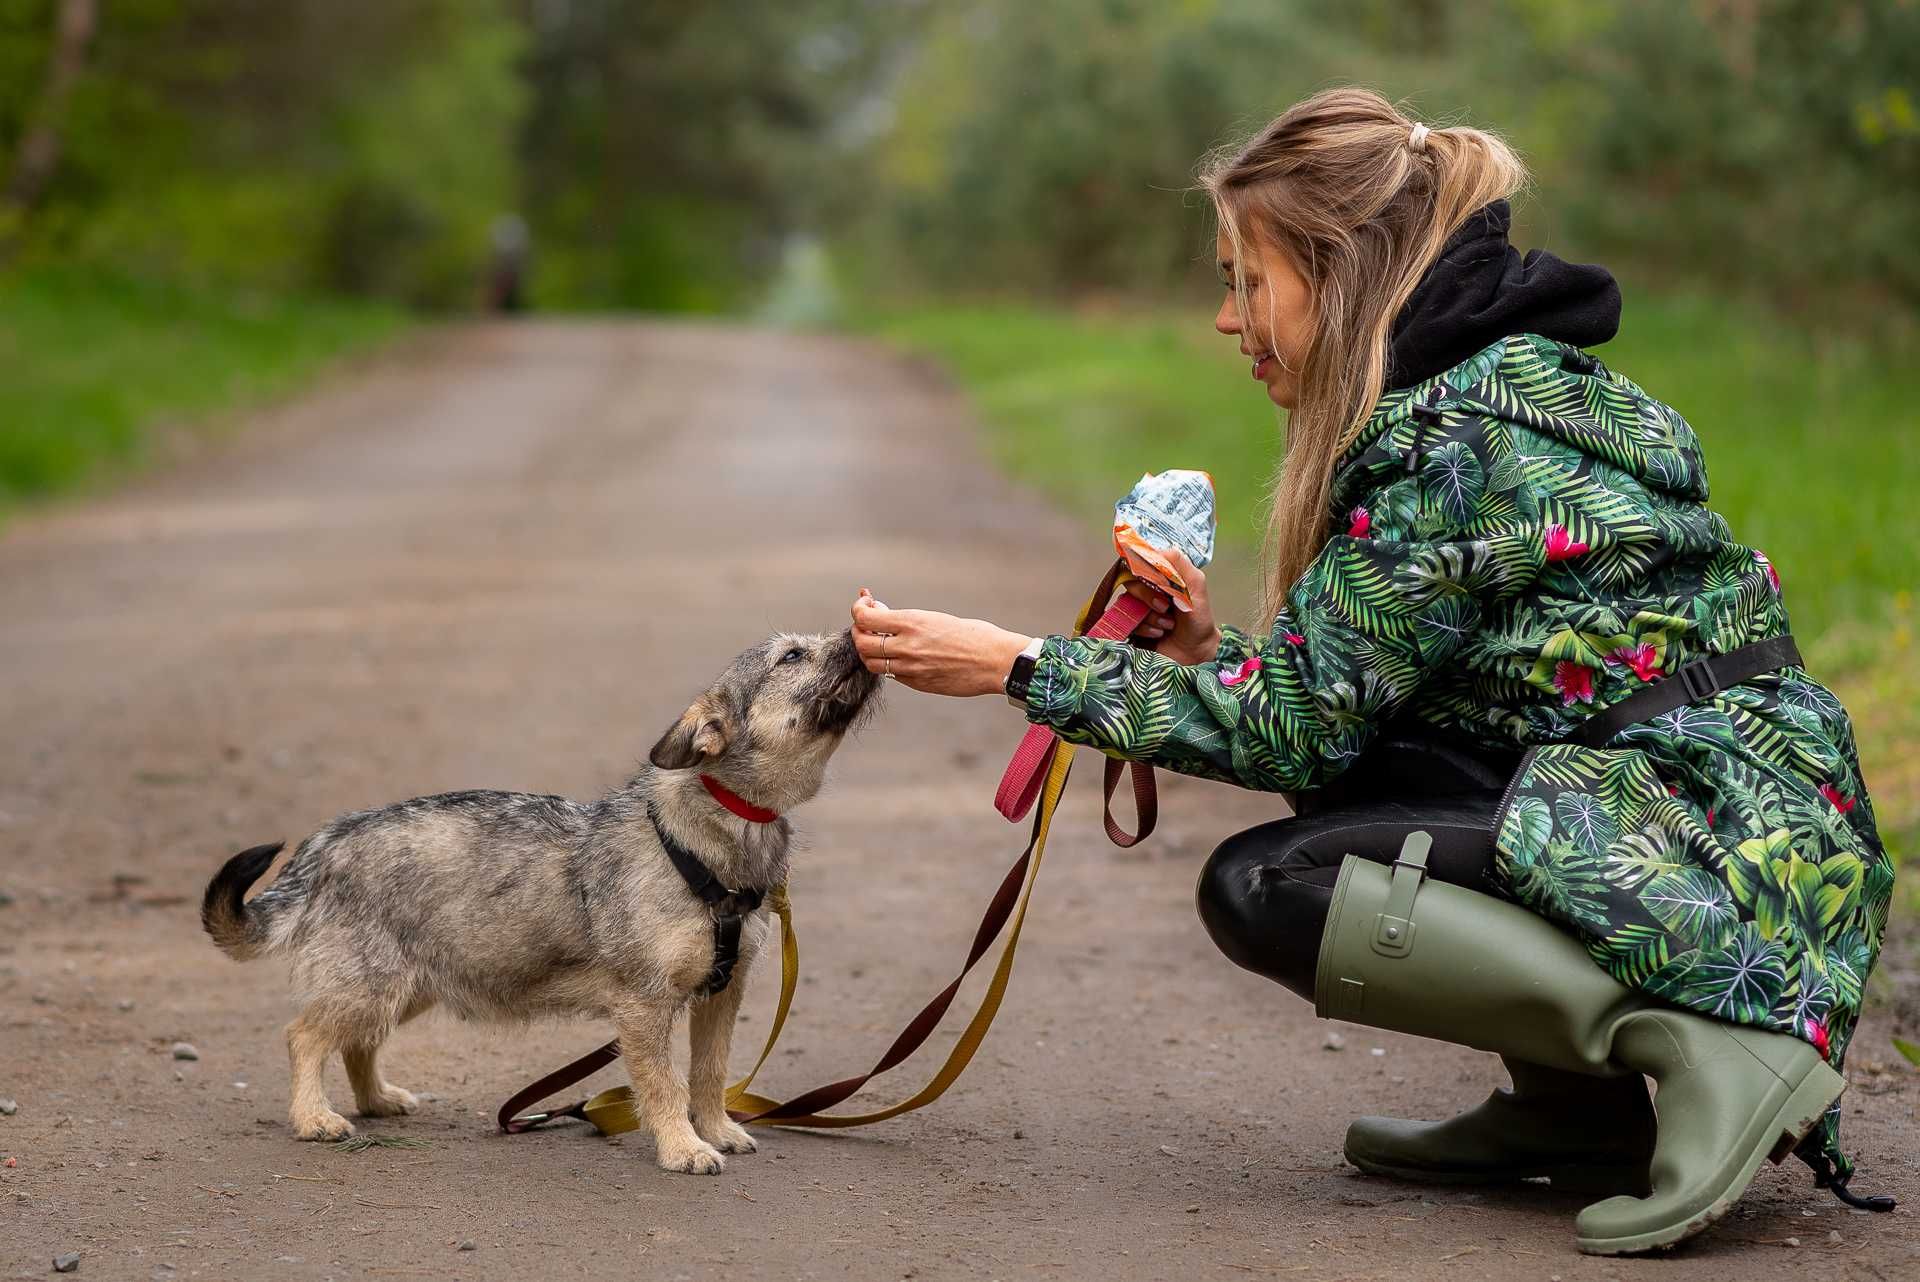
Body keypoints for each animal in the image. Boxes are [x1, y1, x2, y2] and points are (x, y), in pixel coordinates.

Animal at [196, 629, 883, 1174]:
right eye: (792, 655)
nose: (861, 630)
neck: (712, 833)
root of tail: (326, 841)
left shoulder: (722, 992)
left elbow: (710, 1074)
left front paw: (716, 1129)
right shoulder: (645, 1005)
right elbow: (664, 1085)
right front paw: (683, 1147)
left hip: (404, 985)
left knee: (356, 1043)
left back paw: (377, 1100)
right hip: (370, 983)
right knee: (304, 1036)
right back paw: (314, 1117)